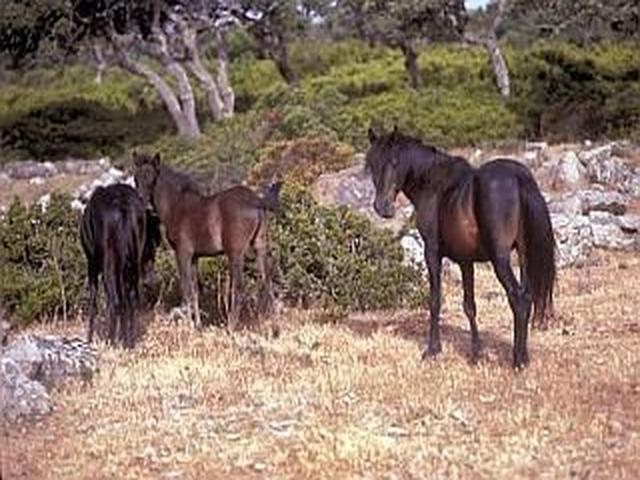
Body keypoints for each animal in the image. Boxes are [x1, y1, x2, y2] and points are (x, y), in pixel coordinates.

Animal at [80, 183, 162, 348]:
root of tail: (123, 206)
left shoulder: (92, 264)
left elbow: (94, 300)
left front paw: (90, 338)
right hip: (131, 264)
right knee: (130, 300)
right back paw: (129, 341)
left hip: (108, 264)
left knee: (115, 301)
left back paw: (110, 340)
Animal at [132, 152, 280, 329]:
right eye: (135, 178)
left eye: (152, 179)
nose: (142, 203)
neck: (176, 206)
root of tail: (256, 200)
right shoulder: (195, 257)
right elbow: (195, 290)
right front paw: (197, 324)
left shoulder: (183, 253)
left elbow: (186, 289)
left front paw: (189, 326)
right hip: (260, 245)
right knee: (267, 280)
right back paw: (273, 322)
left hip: (235, 253)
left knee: (238, 287)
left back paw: (231, 326)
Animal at [365, 127, 555, 369]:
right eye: (372, 163)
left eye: (395, 161)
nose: (382, 207)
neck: (434, 185)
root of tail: (518, 178)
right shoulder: (466, 261)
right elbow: (469, 306)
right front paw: (476, 353)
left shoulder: (432, 253)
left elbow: (435, 300)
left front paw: (432, 350)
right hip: (524, 255)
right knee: (528, 297)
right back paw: (524, 356)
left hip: (501, 259)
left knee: (518, 299)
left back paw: (518, 361)